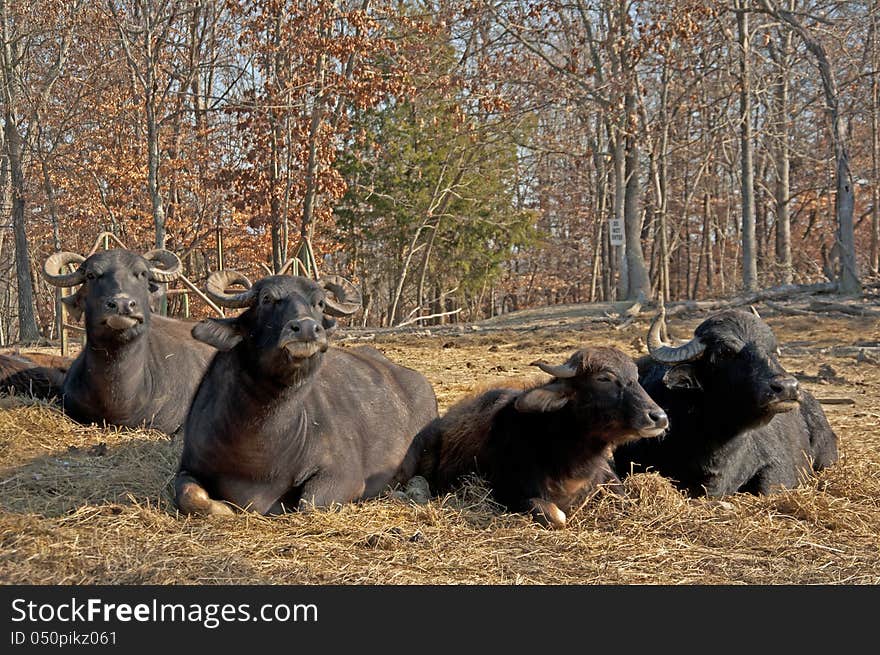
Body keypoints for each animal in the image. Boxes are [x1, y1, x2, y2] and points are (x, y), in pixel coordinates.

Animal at [174, 270, 438, 516]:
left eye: (319, 303)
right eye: (266, 298)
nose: (308, 329)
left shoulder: (344, 475)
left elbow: (309, 503)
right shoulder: (188, 466)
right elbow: (189, 495)